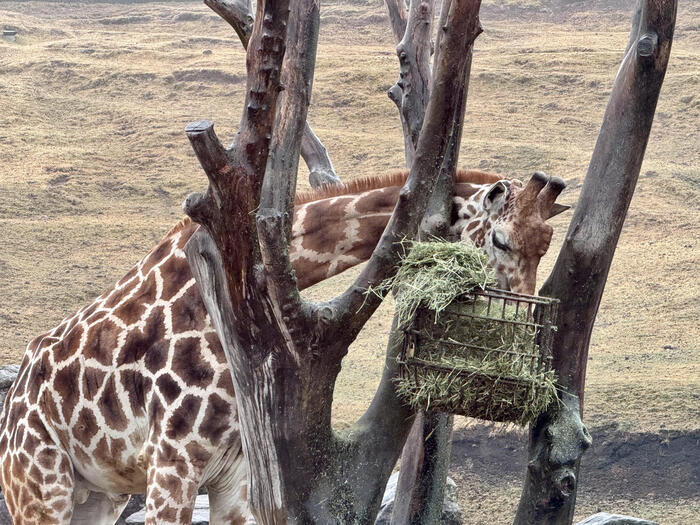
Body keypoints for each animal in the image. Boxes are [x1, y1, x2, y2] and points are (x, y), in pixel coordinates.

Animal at [0, 170, 568, 520]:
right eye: (500, 240)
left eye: (545, 246)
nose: (523, 321)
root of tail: (12, 405)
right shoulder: (172, 464)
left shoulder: (233, 477)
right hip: (39, 485)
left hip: (97, 494)